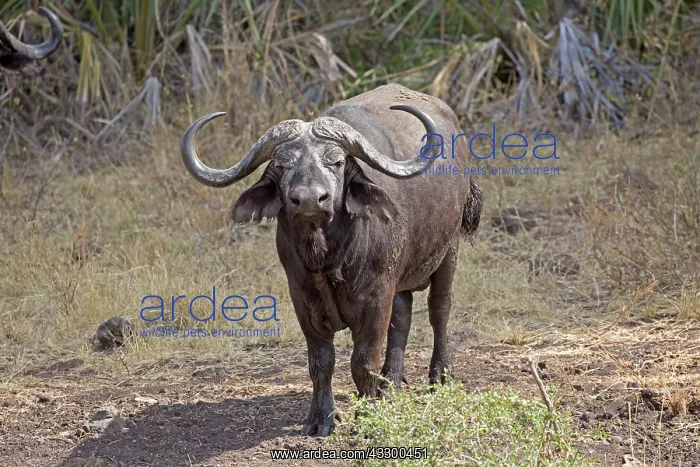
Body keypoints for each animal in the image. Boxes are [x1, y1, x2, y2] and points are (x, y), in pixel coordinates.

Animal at [181, 83, 482, 436]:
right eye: (282, 165)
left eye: (336, 162)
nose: (310, 199)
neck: (328, 257)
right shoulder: (303, 299)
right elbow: (321, 361)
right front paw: (321, 418)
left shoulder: (376, 296)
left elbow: (363, 361)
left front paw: (367, 416)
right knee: (403, 317)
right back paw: (390, 386)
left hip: (449, 250)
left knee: (440, 310)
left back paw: (440, 377)